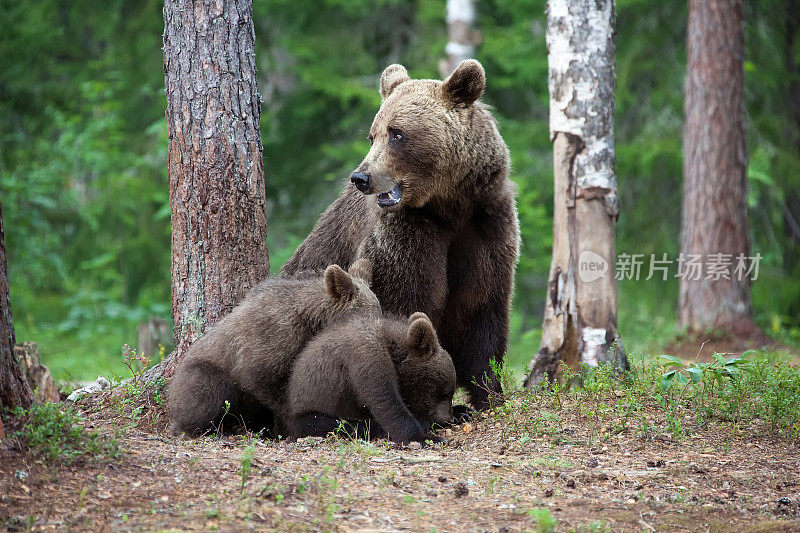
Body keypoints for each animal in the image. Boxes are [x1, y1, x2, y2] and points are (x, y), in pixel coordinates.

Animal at [282, 59, 520, 408]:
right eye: (372, 136)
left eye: (397, 133)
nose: (361, 177)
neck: (448, 206)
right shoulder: (406, 236)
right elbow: (403, 304)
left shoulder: (486, 227)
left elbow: (480, 311)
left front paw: (488, 393)